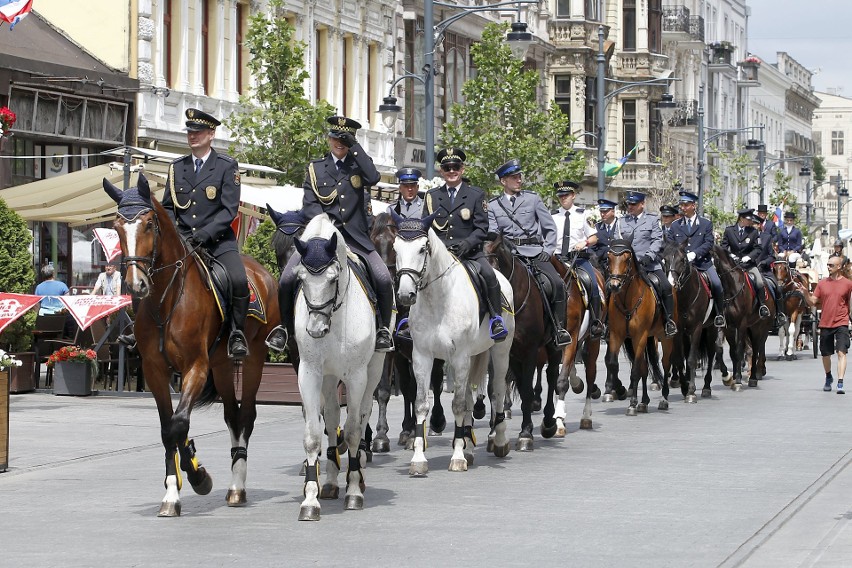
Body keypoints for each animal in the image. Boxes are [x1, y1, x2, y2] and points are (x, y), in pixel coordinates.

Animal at [101, 175, 278, 516]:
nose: (134, 284)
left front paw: (198, 478)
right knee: (232, 416)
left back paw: (238, 487)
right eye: (116, 227)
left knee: (246, 417)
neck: (166, 300)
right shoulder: (155, 371)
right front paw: (173, 490)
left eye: (149, 224)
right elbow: (168, 429)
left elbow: (179, 423)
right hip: (221, 366)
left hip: (253, 360)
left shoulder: (195, 366)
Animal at [292, 213, 386, 520]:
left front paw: (354, 491)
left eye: (333, 279)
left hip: (374, 370)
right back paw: (332, 481)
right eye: (301, 278)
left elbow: (355, 429)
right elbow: (313, 435)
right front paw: (310, 500)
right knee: (332, 417)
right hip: (329, 377)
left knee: (363, 412)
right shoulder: (309, 373)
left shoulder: (356, 376)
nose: (315, 329)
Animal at [392, 214, 516, 474]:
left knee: (498, 389)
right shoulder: (422, 357)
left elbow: (458, 405)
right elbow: (422, 404)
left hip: (500, 351)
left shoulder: (458, 357)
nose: (405, 295)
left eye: (422, 249)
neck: (438, 299)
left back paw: (499, 440)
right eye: (395, 249)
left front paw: (457, 457)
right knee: (469, 396)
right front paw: (419, 459)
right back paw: (468, 443)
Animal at [608, 237, 676, 414]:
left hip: (664, 337)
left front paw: (632, 403)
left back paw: (664, 398)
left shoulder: (639, 336)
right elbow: (614, 364)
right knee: (645, 367)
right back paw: (644, 401)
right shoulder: (617, 335)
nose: (614, 285)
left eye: (627, 259)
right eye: (608, 258)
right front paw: (623, 393)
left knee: (666, 364)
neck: (627, 299)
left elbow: (635, 371)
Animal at [712, 246, 780, 388]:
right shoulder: (725, 325)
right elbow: (724, 349)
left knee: (757, 347)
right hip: (751, 328)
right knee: (752, 348)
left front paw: (737, 377)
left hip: (761, 327)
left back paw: (755, 375)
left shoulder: (741, 324)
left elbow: (738, 349)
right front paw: (728, 376)